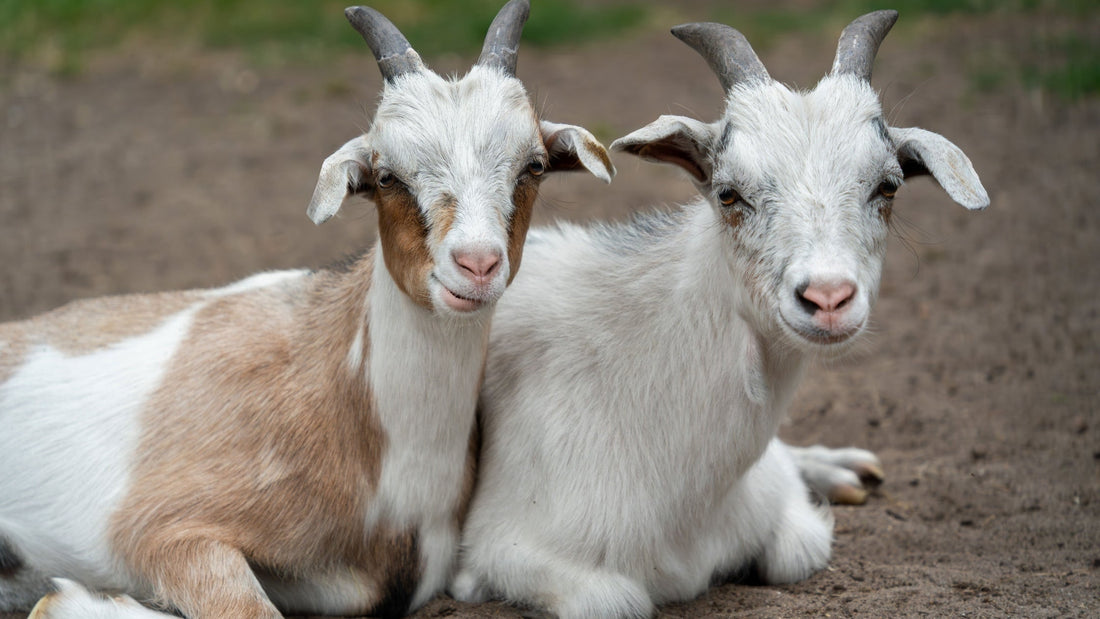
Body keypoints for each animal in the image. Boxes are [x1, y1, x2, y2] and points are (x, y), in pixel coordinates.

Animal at [452, 11, 988, 618]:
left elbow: (795, 549)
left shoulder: (779, 516)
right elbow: (617, 600)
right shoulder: (507, 545)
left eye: (888, 186)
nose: (828, 298)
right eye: (729, 194)